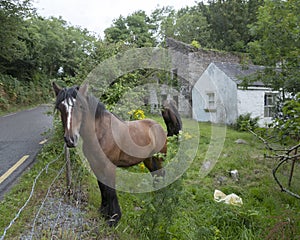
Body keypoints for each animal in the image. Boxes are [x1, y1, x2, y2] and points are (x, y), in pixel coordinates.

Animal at [52, 81, 168, 226]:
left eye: (81, 106)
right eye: (60, 108)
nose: (70, 140)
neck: (101, 133)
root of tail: (158, 126)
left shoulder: (109, 167)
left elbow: (111, 191)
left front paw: (113, 219)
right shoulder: (95, 165)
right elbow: (103, 188)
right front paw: (103, 212)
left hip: (159, 159)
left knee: (161, 175)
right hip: (148, 160)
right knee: (156, 175)